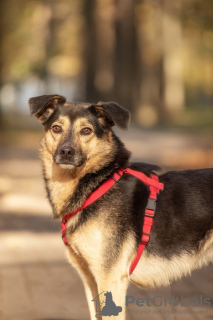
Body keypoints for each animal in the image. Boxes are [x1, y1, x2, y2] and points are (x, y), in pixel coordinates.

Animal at [28, 95, 213, 320]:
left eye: (86, 130)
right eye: (56, 128)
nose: (66, 152)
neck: (99, 183)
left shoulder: (110, 279)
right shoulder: (90, 279)